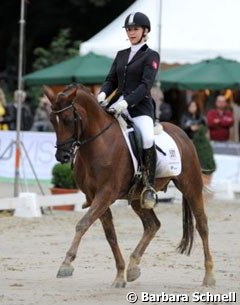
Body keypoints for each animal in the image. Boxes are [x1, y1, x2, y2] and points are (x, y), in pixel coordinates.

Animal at [44, 83, 215, 288]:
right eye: (52, 121)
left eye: (69, 120)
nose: (62, 156)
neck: (100, 143)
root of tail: (182, 132)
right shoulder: (94, 197)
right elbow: (110, 234)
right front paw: (120, 275)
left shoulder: (106, 194)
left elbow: (82, 224)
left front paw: (66, 264)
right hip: (137, 197)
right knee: (152, 225)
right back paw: (133, 268)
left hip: (191, 186)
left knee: (202, 225)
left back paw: (209, 276)